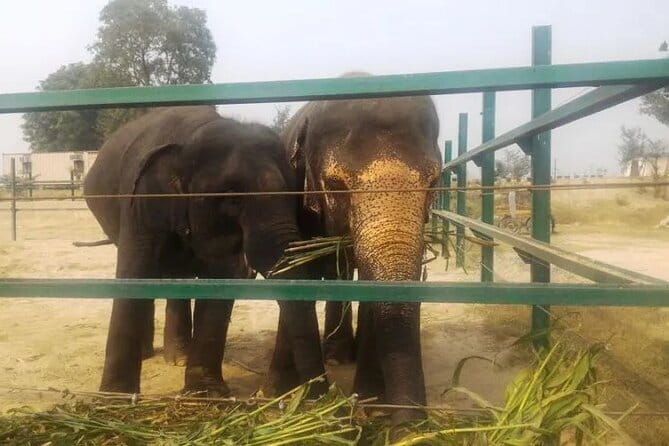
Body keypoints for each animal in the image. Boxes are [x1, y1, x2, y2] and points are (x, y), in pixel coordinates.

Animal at [84, 106, 327, 396]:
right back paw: (155, 356)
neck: (192, 134)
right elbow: (134, 273)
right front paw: (114, 397)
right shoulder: (140, 202)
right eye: (232, 199)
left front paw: (205, 393)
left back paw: (179, 357)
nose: (324, 394)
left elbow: (222, 276)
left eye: (294, 196)